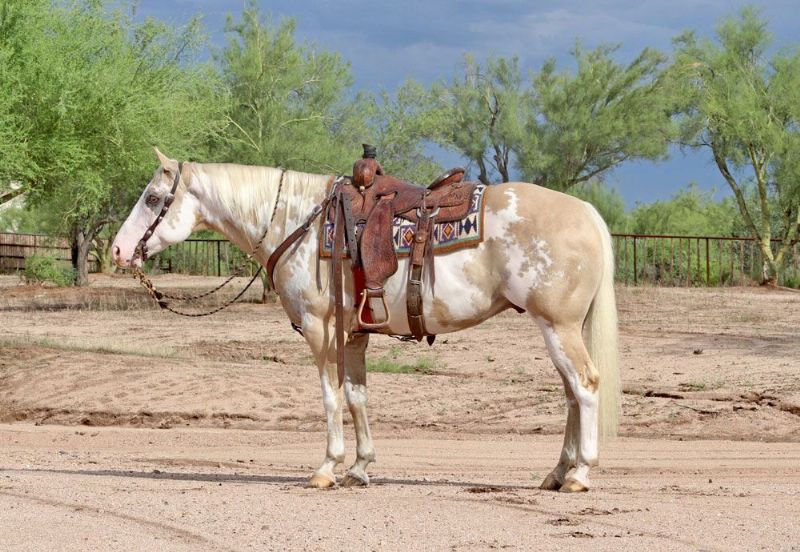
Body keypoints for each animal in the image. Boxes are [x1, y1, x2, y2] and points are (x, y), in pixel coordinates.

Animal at [112, 148, 620, 492]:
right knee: (571, 395)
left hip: (557, 325)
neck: (300, 224)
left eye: (153, 197)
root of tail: (586, 212)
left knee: (586, 386)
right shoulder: (355, 334)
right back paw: (556, 473)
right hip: (558, 328)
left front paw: (326, 468)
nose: (118, 250)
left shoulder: (320, 330)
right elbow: (357, 398)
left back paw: (580, 474)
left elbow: (330, 397)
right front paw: (359, 468)